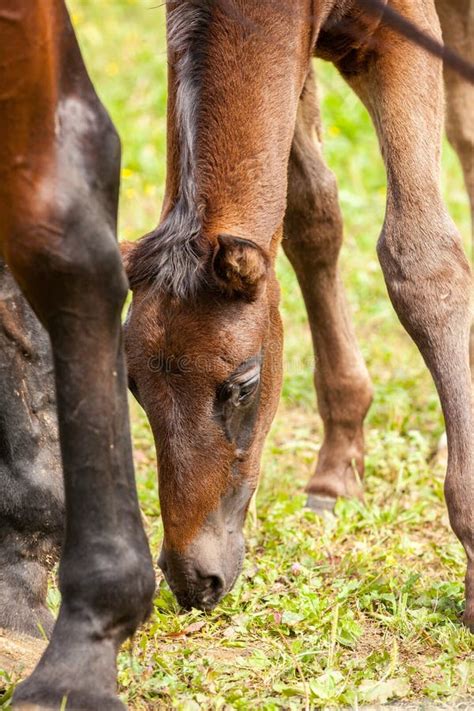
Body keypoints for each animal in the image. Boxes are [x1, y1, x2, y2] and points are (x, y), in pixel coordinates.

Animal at [0, 1, 472, 710]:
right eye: (133, 389)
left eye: (242, 385)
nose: (194, 579)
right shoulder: (296, 54)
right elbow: (310, 214)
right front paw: (340, 454)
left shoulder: (397, 33)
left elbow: (419, 259)